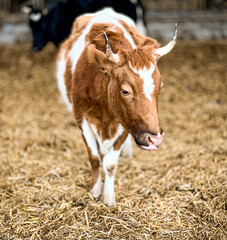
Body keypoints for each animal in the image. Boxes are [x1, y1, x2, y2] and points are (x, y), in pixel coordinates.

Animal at [56, 7, 177, 206]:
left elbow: (111, 164)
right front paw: (95, 190)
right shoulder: (80, 118)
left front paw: (108, 196)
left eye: (160, 87)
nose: (155, 139)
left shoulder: (127, 123)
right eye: (125, 91)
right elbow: (94, 158)